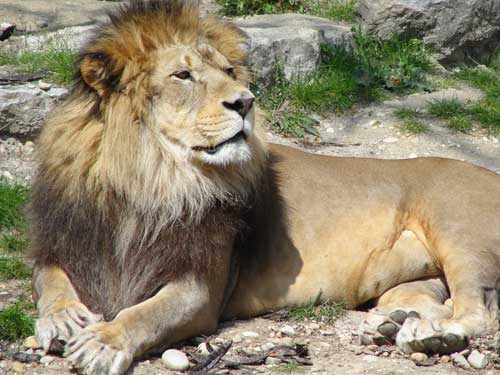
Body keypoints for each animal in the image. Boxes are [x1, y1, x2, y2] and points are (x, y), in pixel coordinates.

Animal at [30, 0, 500, 375]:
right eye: (183, 75)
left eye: (228, 71)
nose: (245, 101)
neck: (148, 180)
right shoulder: (65, 242)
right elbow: (49, 280)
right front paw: (64, 318)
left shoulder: (201, 287)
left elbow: (146, 314)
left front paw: (103, 340)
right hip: (417, 277)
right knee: (432, 301)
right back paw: (395, 326)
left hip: (456, 230)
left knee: (476, 312)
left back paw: (434, 336)